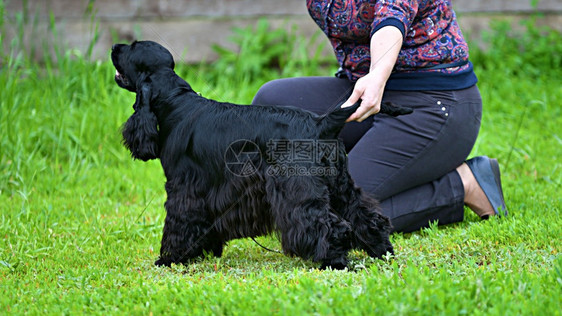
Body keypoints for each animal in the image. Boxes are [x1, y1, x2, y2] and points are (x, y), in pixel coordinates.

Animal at [110, 40, 406, 270]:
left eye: (132, 47)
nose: (114, 47)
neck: (175, 101)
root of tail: (320, 123)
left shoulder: (184, 189)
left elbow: (179, 221)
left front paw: (169, 258)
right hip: (339, 184)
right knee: (367, 217)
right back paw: (382, 251)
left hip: (299, 188)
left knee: (328, 225)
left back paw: (334, 262)